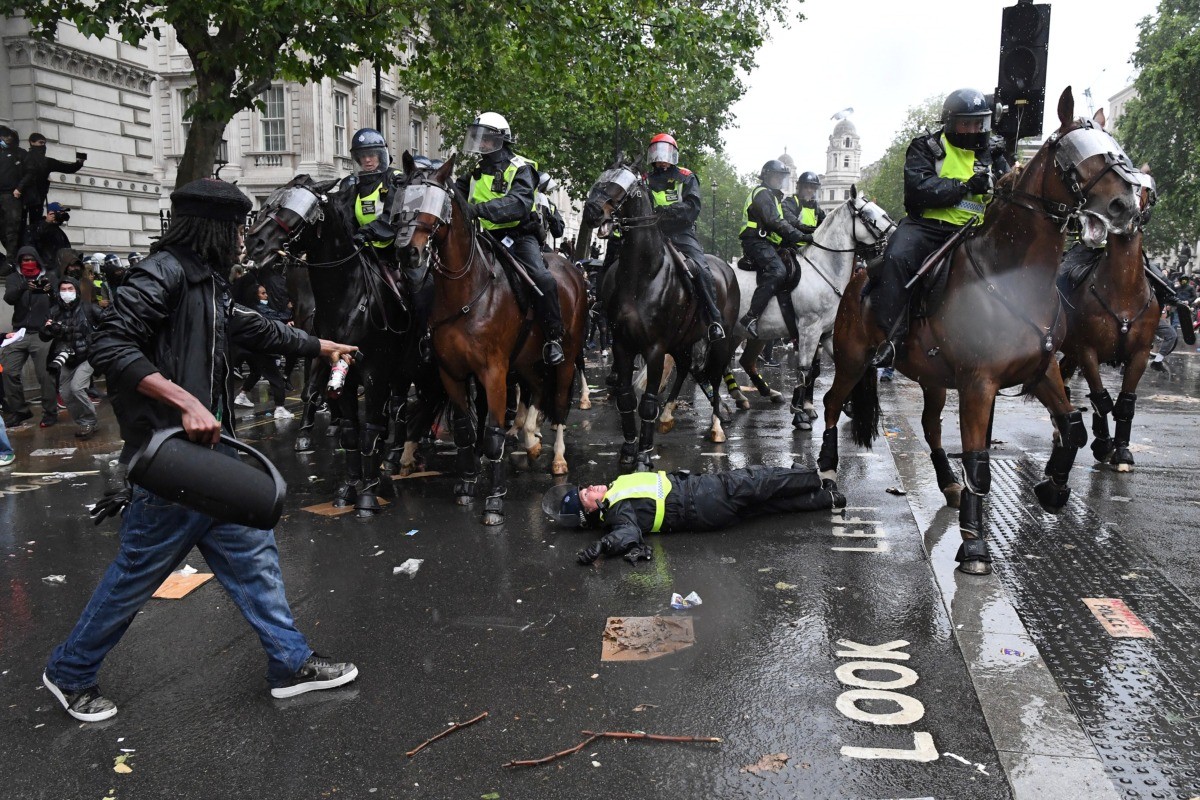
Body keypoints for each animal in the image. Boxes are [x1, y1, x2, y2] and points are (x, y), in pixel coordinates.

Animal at [580, 160, 739, 470]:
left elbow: (648, 401)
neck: (641, 275)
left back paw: (716, 427)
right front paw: (629, 449)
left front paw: (644, 454)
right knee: (686, 367)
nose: (592, 211)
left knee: (715, 378)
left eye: (623, 185)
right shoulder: (622, 345)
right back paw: (668, 415)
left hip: (720, 341)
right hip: (681, 340)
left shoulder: (653, 348)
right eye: (601, 178)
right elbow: (627, 398)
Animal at [724, 188, 897, 429]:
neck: (824, 270)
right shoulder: (809, 330)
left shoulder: (828, 333)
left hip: (751, 334)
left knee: (743, 361)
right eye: (868, 214)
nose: (896, 235)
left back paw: (753, 394)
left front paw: (847, 406)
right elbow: (805, 371)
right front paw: (799, 414)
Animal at [816, 87, 1142, 575]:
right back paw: (828, 475)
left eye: (1116, 146)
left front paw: (1053, 489)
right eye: (1072, 154)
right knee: (833, 405)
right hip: (853, 360)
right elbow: (979, 460)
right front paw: (974, 546)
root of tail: (860, 273)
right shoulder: (978, 383)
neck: (1011, 276)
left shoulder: (1041, 371)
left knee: (930, 427)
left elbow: (1073, 427)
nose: (1127, 205)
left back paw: (949, 484)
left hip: (932, 377)